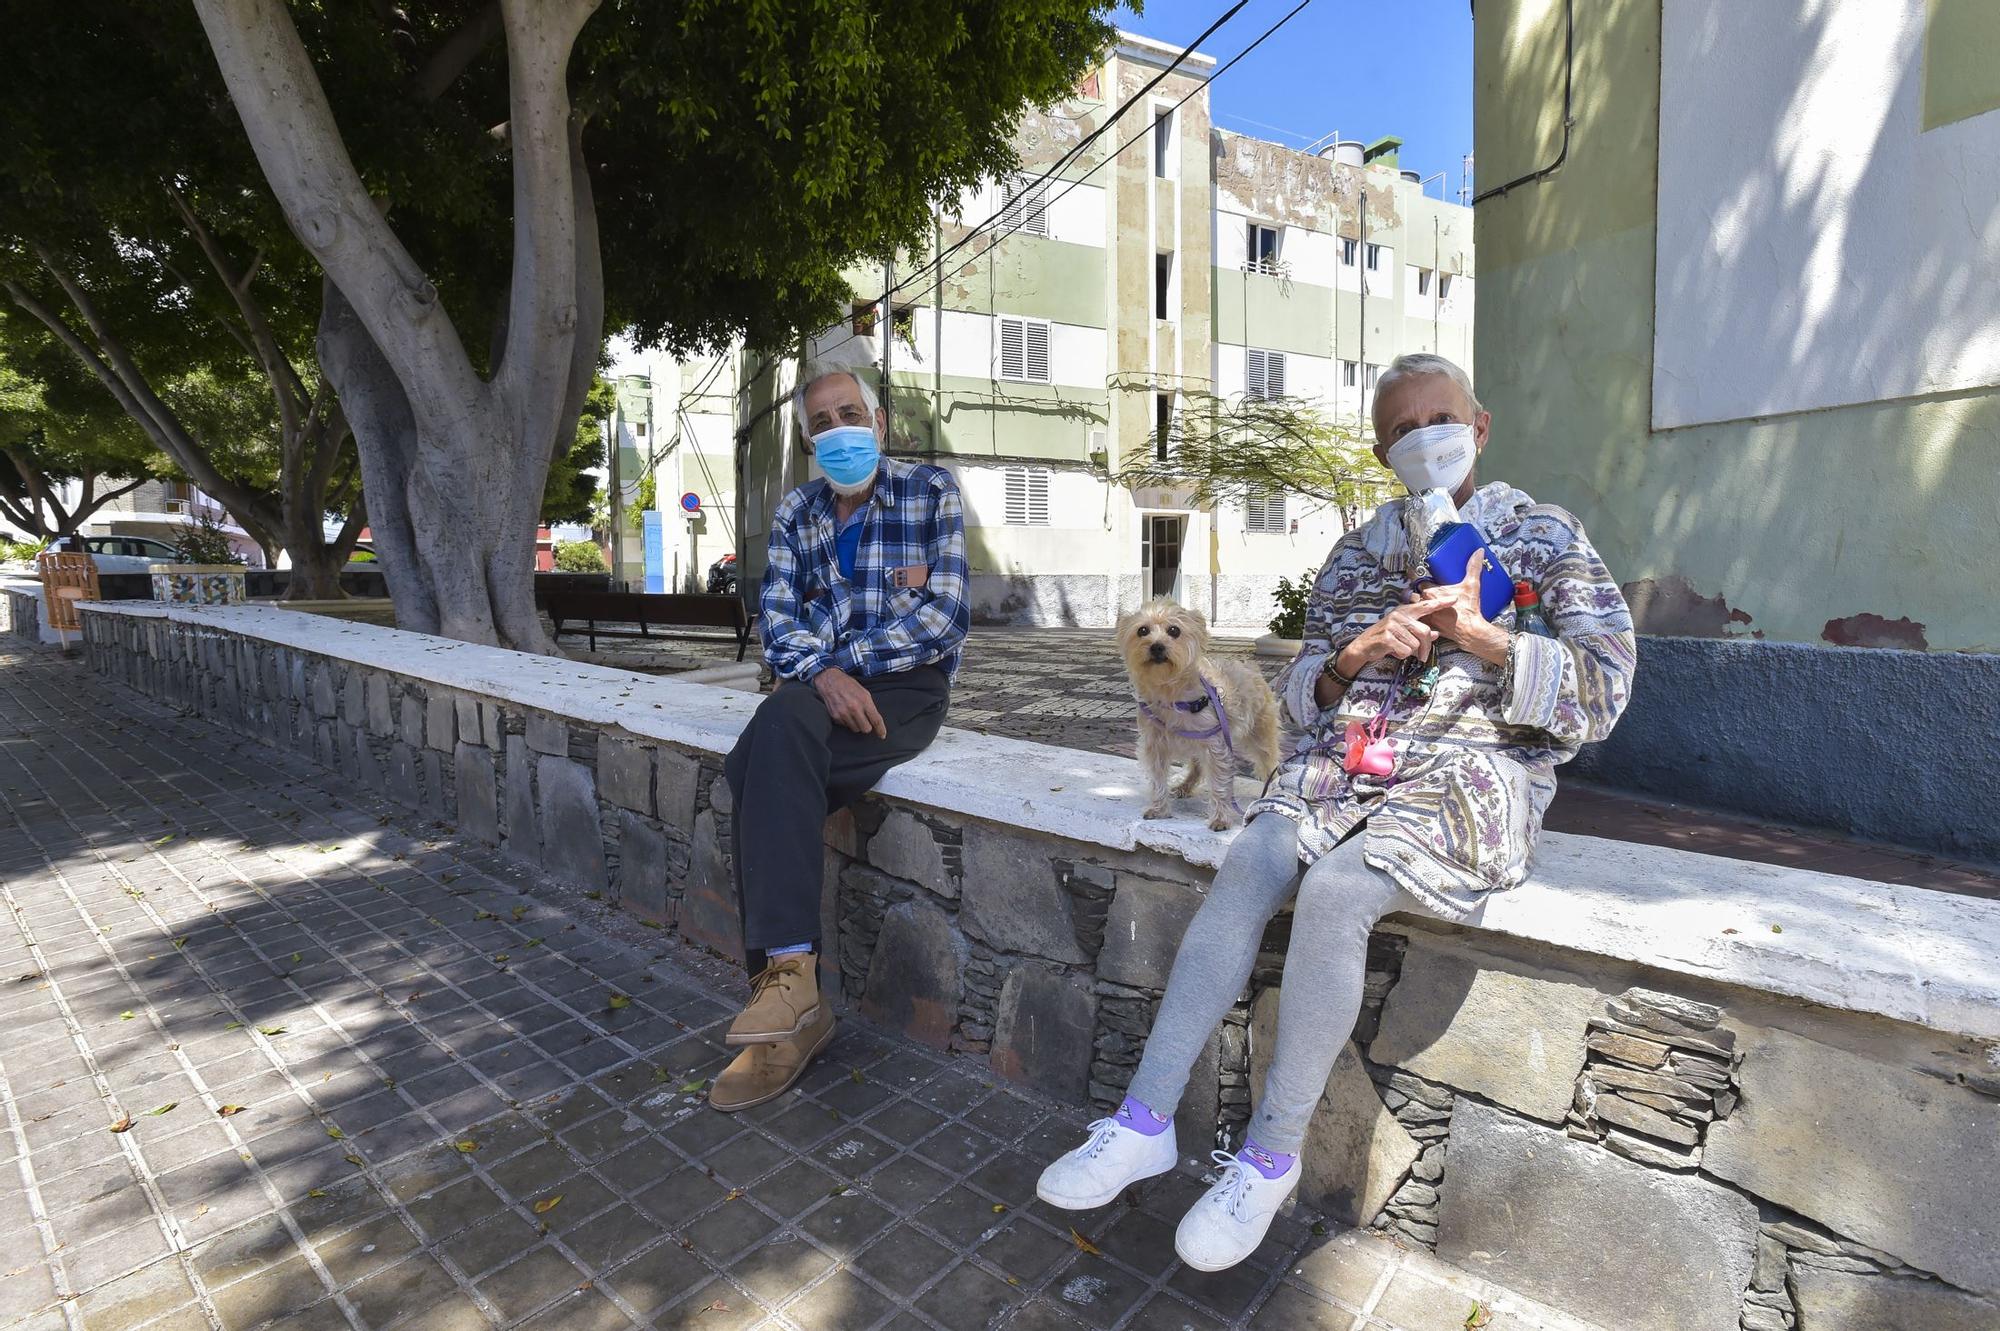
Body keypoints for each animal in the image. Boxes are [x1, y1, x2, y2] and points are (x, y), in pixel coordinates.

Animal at [1120, 599, 1288, 823]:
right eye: (1142, 630)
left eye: (1174, 630)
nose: (1157, 646)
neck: (1170, 692)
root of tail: (1251, 669)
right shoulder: (1155, 746)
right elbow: (1158, 780)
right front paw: (1159, 808)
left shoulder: (1214, 745)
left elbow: (1219, 783)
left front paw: (1220, 818)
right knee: (1197, 767)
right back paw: (1184, 786)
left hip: (1260, 735)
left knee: (1269, 762)